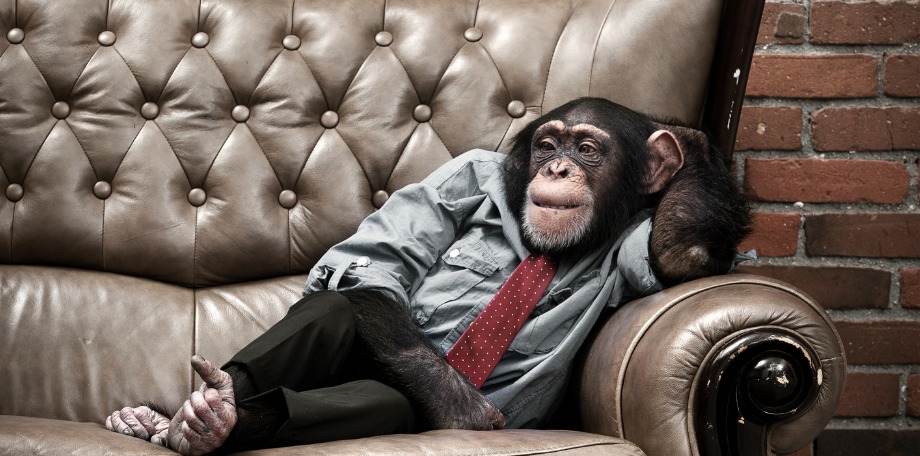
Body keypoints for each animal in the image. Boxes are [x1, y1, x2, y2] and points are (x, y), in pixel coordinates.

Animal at [105, 97, 750, 455]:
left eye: (588, 149)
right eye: (547, 145)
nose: (559, 168)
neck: (552, 248)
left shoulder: (643, 244)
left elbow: (683, 255)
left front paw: (683, 143)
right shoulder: (455, 175)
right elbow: (373, 265)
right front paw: (466, 413)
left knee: (378, 398)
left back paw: (207, 421)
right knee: (340, 303)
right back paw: (191, 414)